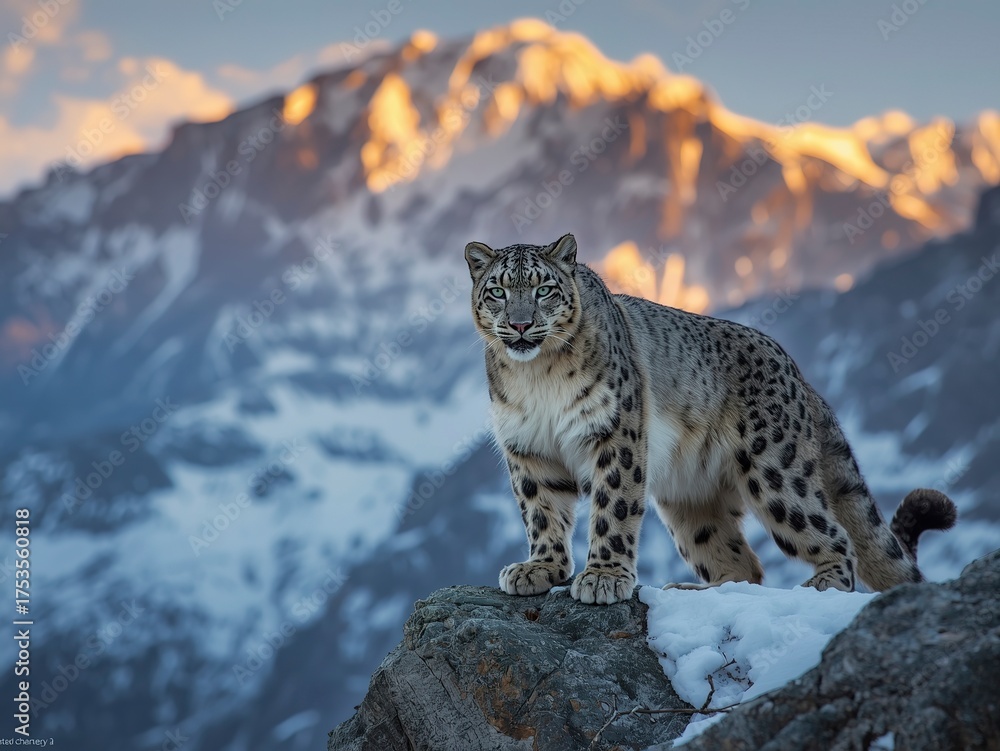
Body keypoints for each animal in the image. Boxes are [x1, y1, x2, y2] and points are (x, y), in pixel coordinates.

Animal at [464, 233, 957, 604]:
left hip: (777, 474)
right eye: (498, 291)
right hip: (689, 499)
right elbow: (541, 510)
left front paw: (603, 577)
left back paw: (821, 583)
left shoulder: (615, 434)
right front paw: (539, 568)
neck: (538, 376)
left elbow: (612, 507)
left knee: (835, 536)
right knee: (740, 560)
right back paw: (693, 590)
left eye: (544, 289)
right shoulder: (528, 448)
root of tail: (798, 374)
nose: (521, 325)